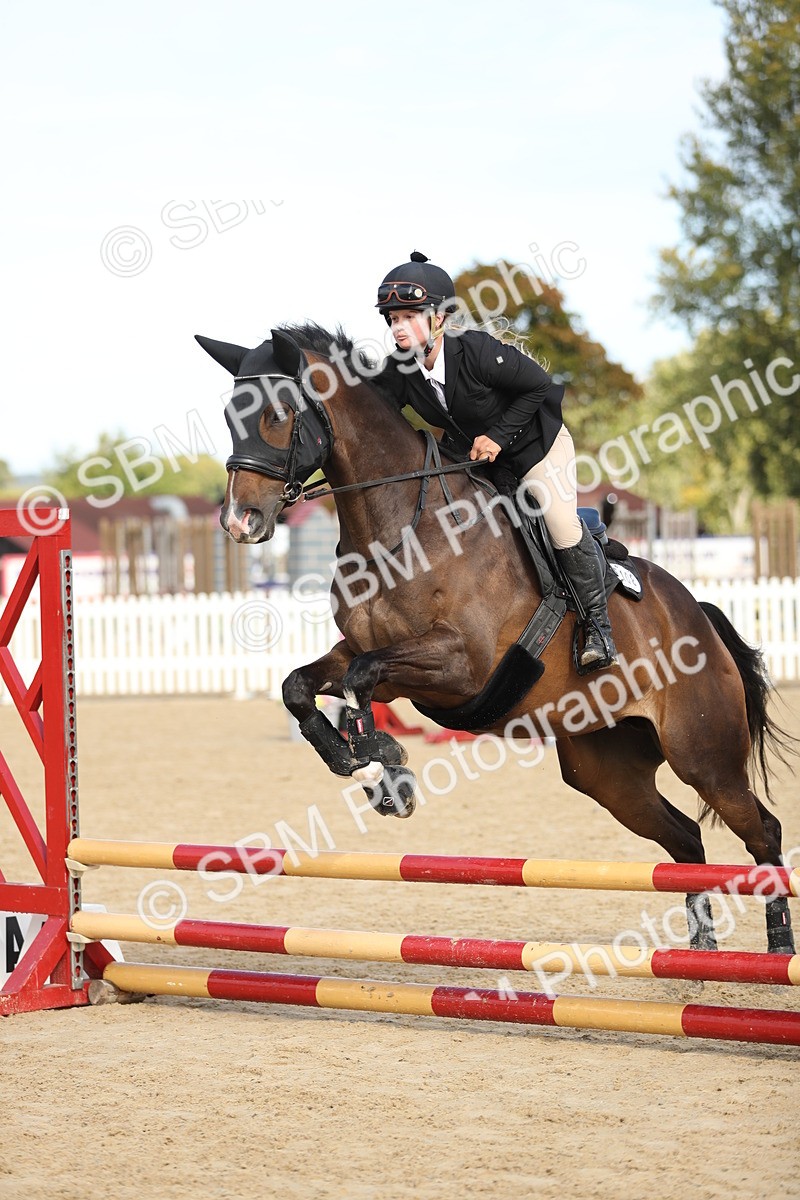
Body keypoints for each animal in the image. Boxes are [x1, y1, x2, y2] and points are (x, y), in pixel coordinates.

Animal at [196, 321, 797, 955]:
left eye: (279, 413)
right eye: (229, 414)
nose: (239, 521)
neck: (402, 526)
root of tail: (698, 616)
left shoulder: (460, 666)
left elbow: (361, 682)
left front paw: (387, 767)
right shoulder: (366, 656)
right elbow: (301, 686)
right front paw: (361, 767)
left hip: (703, 755)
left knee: (762, 830)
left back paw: (779, 943)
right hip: (607, 770)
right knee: (684, 837)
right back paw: (700, 947)